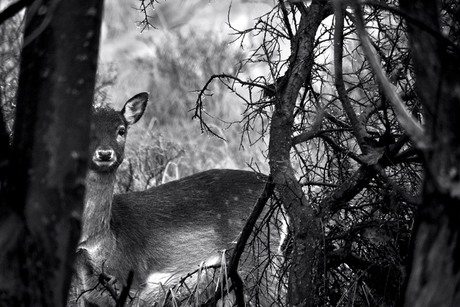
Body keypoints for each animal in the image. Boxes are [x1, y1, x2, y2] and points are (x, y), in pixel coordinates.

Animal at [72, 92, 282, 306]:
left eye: (121, 130)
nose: (105, 153)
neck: (102, 243)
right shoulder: (88, 294)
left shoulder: (132, 282)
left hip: (256, 258)